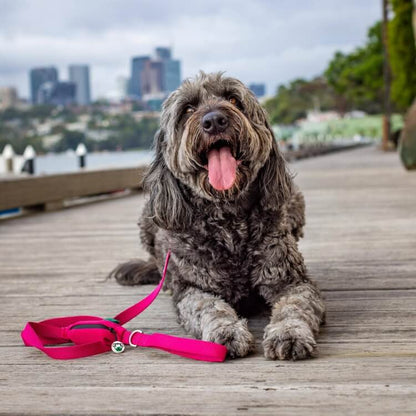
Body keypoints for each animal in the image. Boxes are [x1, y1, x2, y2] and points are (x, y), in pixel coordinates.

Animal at [112, 73, 326, 360]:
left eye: (233, 99)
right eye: (188, 109)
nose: (214, 120)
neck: (229, 221)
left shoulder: (290, 280)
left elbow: (295, 304)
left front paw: (289, 333)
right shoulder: (192, 288)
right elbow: (208, 307)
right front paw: (226, 331)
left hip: (295, 201)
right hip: (147, 218)